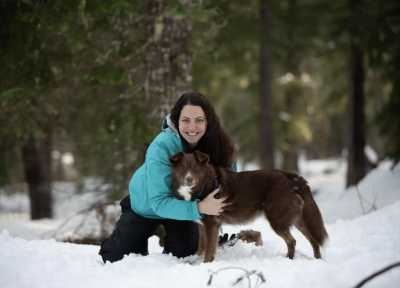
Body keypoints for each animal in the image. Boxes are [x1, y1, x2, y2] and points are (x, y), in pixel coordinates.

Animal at [169, 151, 328, 264]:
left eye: (196, 168)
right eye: (182, 168)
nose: (189, 180)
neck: (203, 187)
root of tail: (292, 177)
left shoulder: (212, 224)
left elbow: (209, 250)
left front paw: (205, 265)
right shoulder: (203, 224)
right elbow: (201, 245)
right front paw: (193, 259)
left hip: (278, 220)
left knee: (292, 241)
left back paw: (288, 259)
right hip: (297, 219)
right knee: (313, 240)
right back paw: (317, 261)